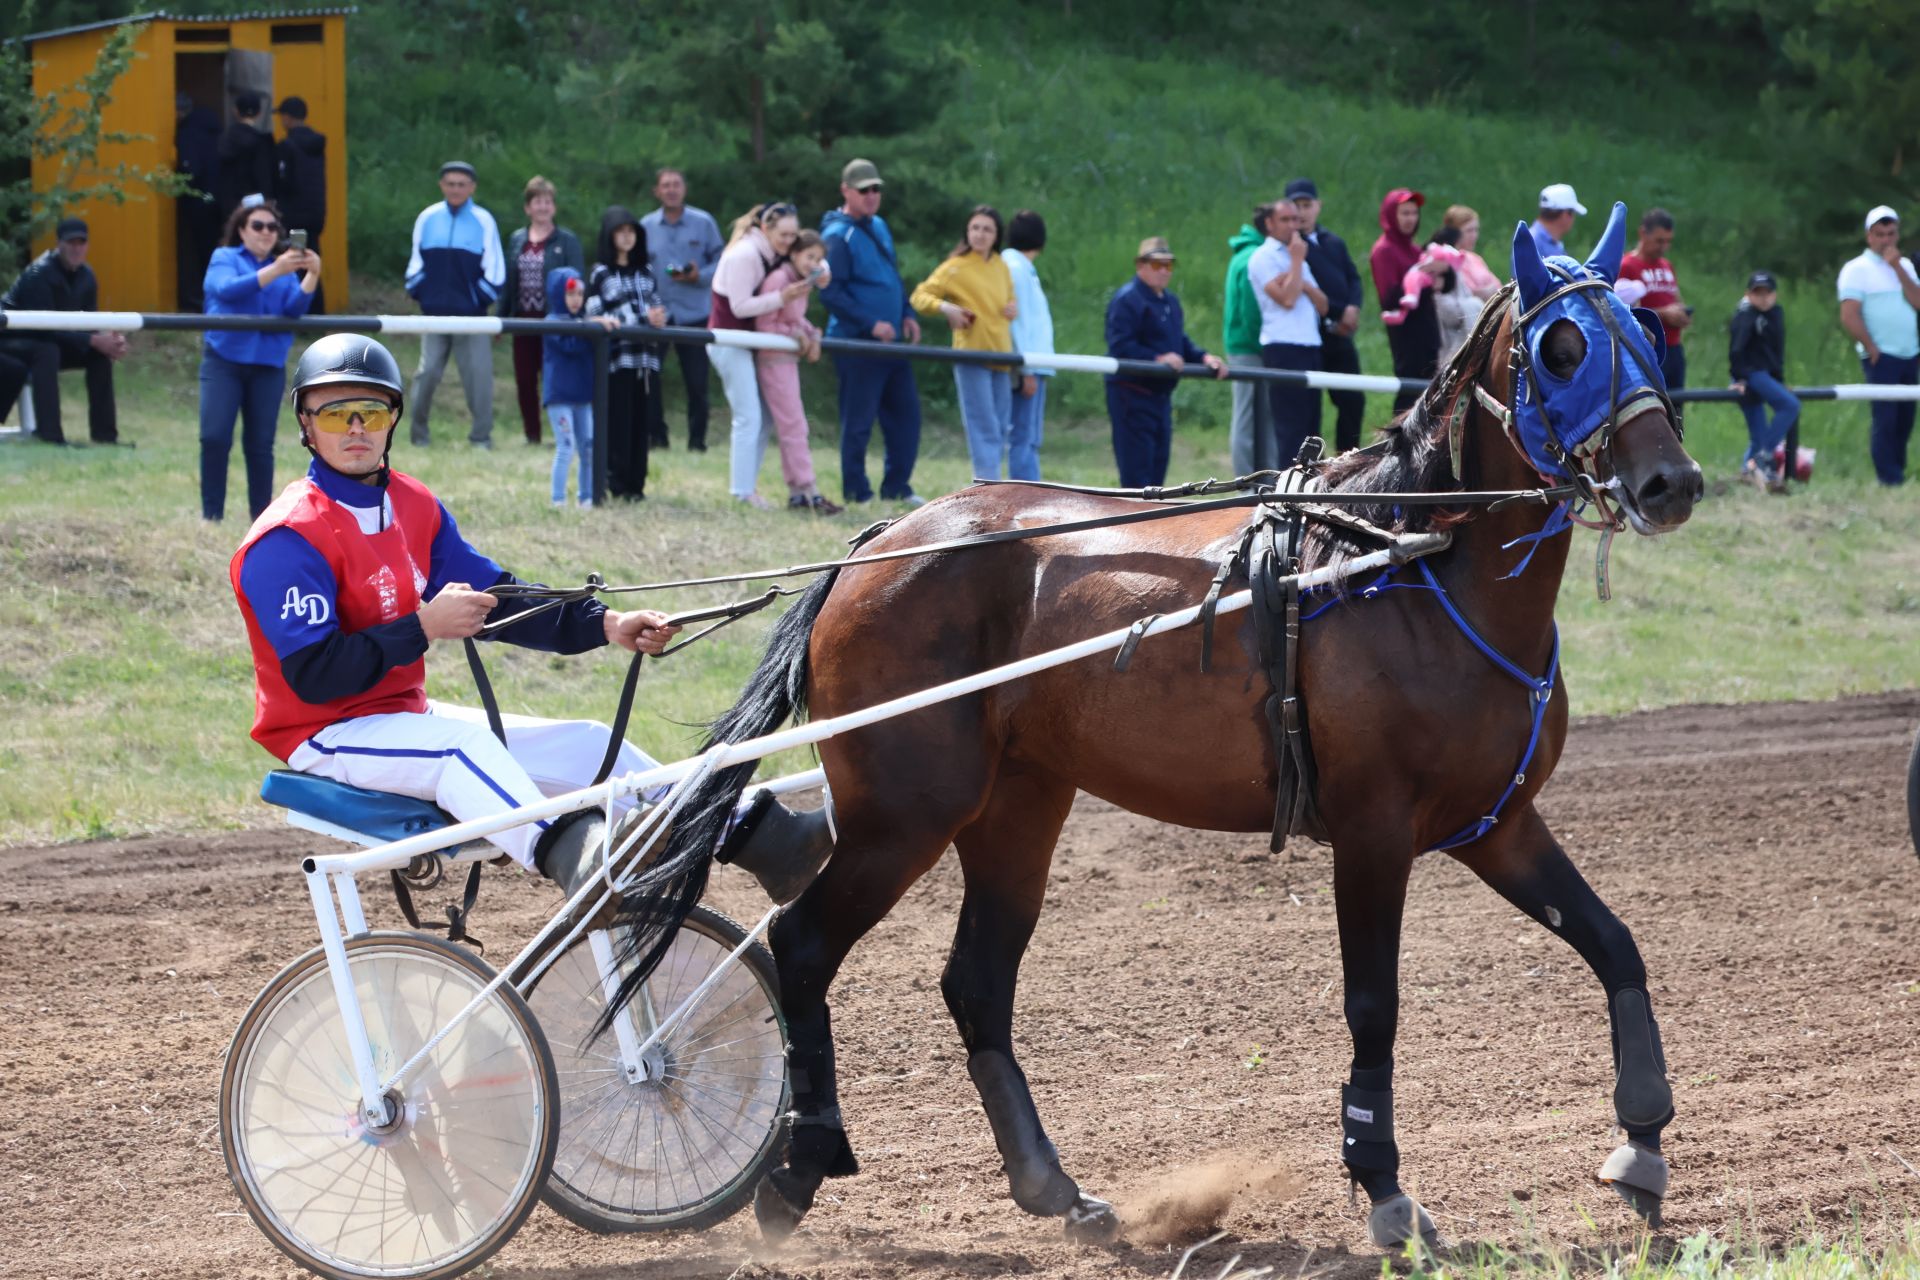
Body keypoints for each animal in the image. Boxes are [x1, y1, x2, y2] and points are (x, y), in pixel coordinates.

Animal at [606, 202, 1704, 1251]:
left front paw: (1643, 1142)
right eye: (1561, 346)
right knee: (800, 946)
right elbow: (1374, 1006)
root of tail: (879, 542)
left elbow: (1616, 944)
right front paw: (1387, 1189)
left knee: (974, 983)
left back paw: (1052, 1186)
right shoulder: (1374, 831)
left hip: (1016, 805)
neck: (1406, 557)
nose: (1672, 482)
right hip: (904, 812)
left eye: (1645, 331)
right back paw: (802, 1162)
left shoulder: (1497, 822)